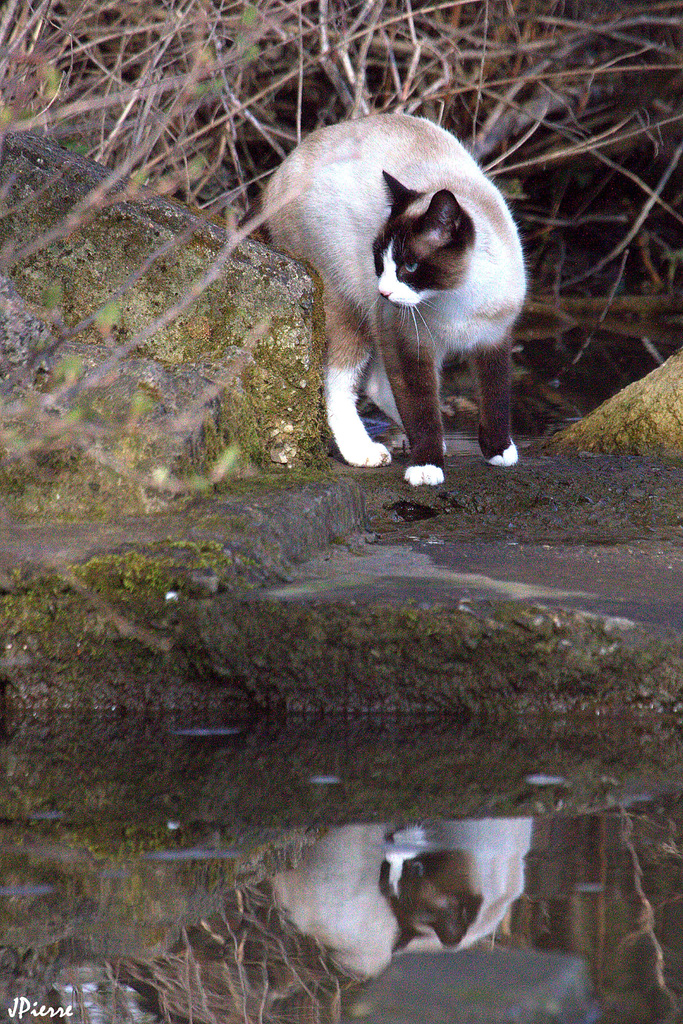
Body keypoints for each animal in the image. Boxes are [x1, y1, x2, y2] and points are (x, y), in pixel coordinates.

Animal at [264, 114, 528, 481]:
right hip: (351, 307)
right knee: (341, 383)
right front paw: (426, 467)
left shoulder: (493, 338)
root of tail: (283, 167)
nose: (384, 291)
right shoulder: (408, 341)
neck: (456, 299)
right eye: (380, 262)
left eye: (409, 266)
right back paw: (364, 451)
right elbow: (419, 405)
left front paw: (499, 451)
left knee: (377, 384)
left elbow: (496, 396)